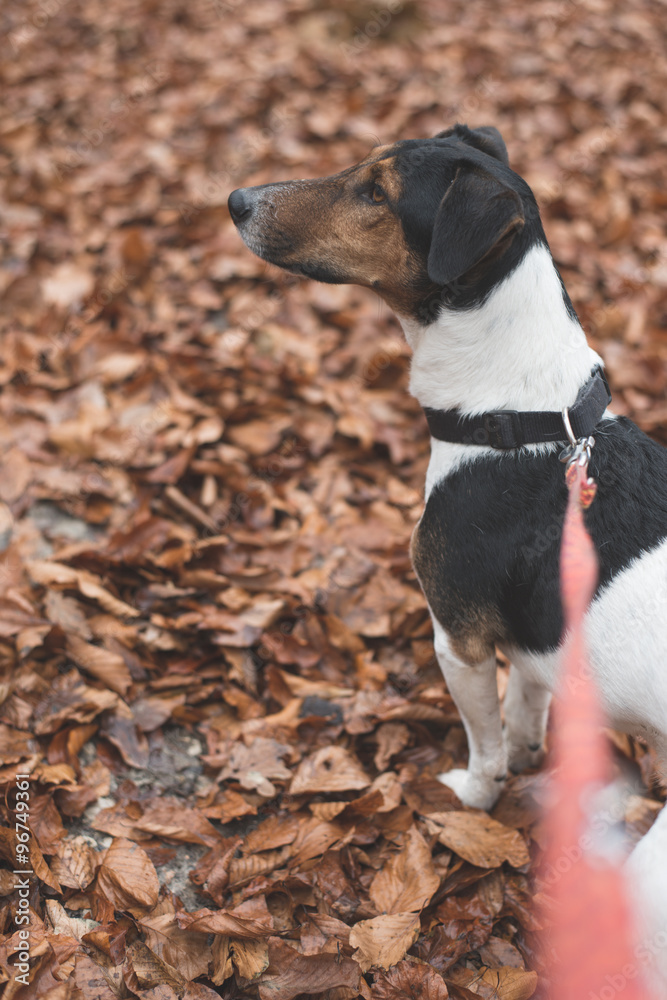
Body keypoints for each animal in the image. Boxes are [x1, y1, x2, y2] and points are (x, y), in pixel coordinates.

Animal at [228, 125, 667, 952]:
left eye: (376, 192)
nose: (237, 199)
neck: (523, 419)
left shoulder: (455, 638)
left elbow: (485, 741)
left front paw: (472, 791)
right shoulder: (535, 642)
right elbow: (526, 708)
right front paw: (529, 754)